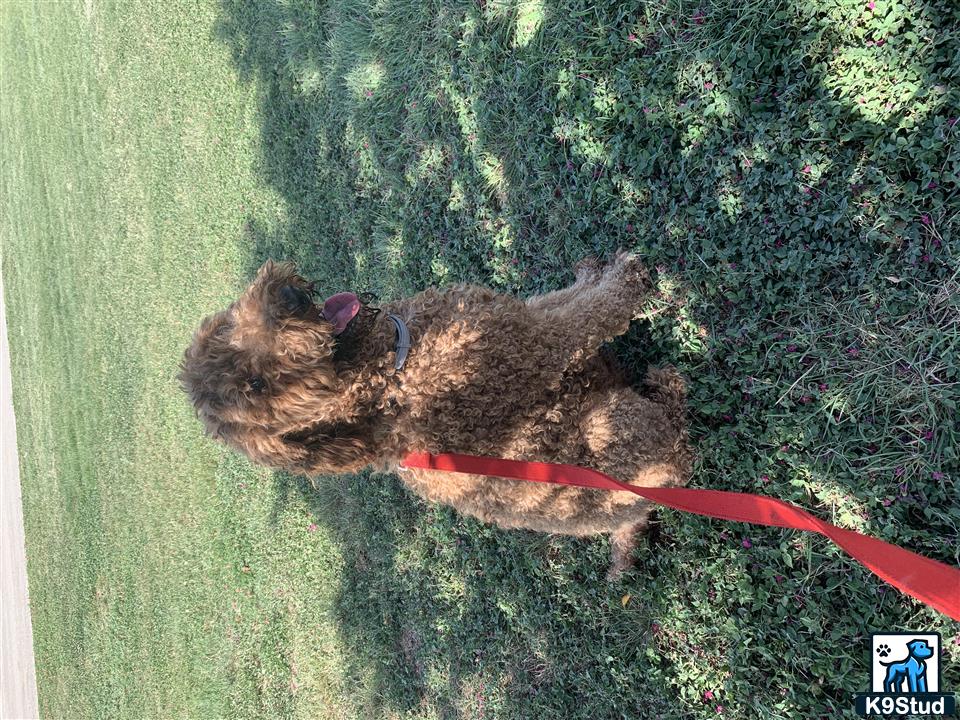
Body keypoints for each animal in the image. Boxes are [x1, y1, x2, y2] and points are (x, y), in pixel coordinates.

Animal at [180, 255, 688, 580]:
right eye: (256, 385)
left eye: (224, 327)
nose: (286, 294)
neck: (390, 372)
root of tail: (630, 519)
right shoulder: (533, 343)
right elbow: (595, 311)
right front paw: (629, 276)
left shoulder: (517, 316)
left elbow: (568, 297)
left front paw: (594, 272)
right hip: (616, 426)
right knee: (680, 438)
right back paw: (669, 386)